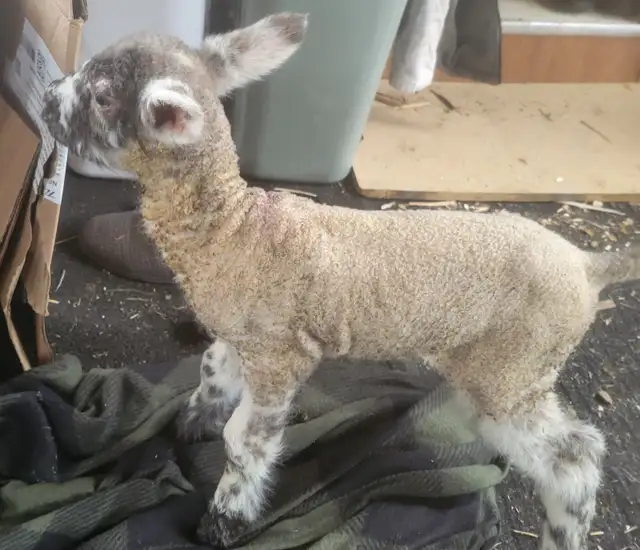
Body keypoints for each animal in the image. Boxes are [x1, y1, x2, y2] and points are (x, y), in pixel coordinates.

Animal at [41, 13, 638, 550]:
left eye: (101, 97)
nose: (47, 98)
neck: (234, 229)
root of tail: (589, 264)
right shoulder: (243, 335)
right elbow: (211, 369)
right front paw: (191, 423)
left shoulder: (280, 357)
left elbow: (246, 442)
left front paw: (224, 521)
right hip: (519, 371)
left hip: (514, 369)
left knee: (576, 456)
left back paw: (562, 534)